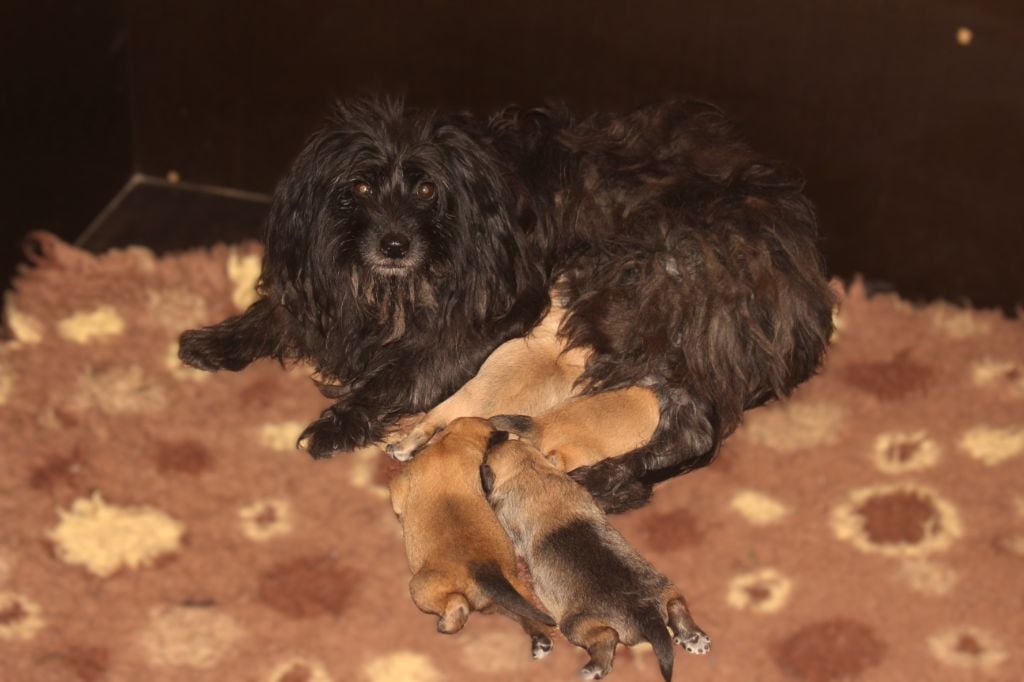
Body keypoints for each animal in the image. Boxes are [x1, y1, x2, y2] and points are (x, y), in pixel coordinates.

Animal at [387, 413, 557, 655]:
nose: (506, 435)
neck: (453, 442)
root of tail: (484, 572)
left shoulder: (401, 486)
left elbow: (398, 501)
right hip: (514, 593)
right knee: (531, 617)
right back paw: (541, 640)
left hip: (421, 587)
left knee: (457, 605)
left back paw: (448, 622)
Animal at [481, 432, 712, 675]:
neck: (530, 470)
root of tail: (647, 613)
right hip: (666, 588)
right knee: (677, 607)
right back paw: (694, 637)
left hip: (575, 625)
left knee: (607, 639)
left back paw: (592, 670)